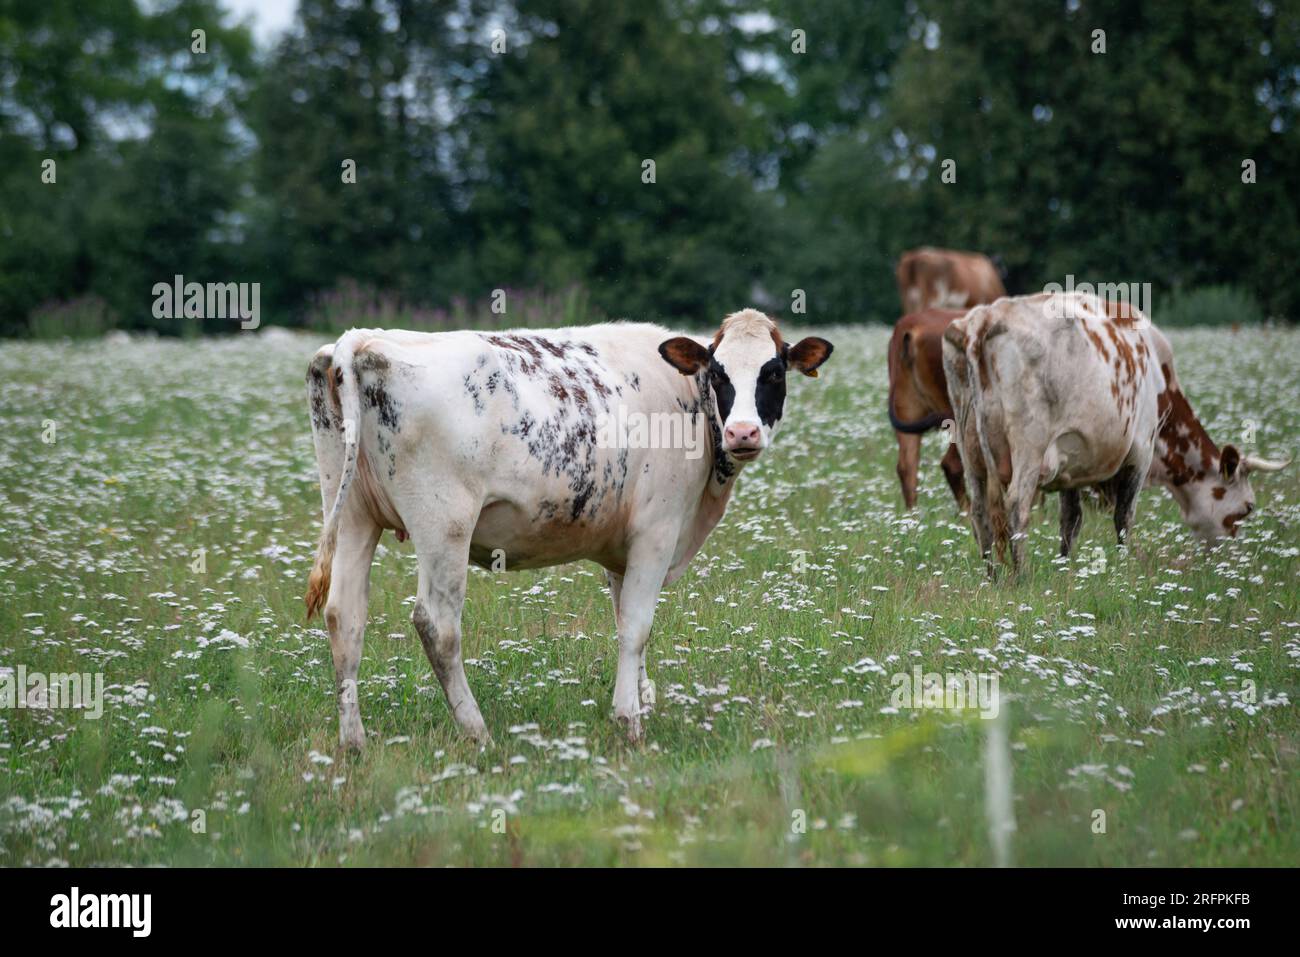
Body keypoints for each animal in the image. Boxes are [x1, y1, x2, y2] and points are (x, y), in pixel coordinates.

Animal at [304, 310, 833, 747]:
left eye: (774, 372)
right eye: (719, 373)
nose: (743, 432)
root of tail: (364, 338)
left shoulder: (622, 549)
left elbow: (626, 621)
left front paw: (640, 700)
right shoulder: (656, 533)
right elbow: (636, 626)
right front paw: (629, 721)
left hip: (351, 512)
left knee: (345, 616)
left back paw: (354, 742)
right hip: (443, 523)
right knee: (437, 625)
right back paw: (477, 731)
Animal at [942, 292, 1287, 572]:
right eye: (1248, 507)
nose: (1230, 559)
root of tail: (985, 318)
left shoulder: (1071, 460)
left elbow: (1070, 520)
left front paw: (1064, 567)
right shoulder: (1141, 452)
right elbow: (1124, 517)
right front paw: (1122, 568)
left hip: (971, 447)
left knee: (980, 510)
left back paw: (992, 576)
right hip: (1029, 445)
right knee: (1015, 504)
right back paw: (1020, 575)